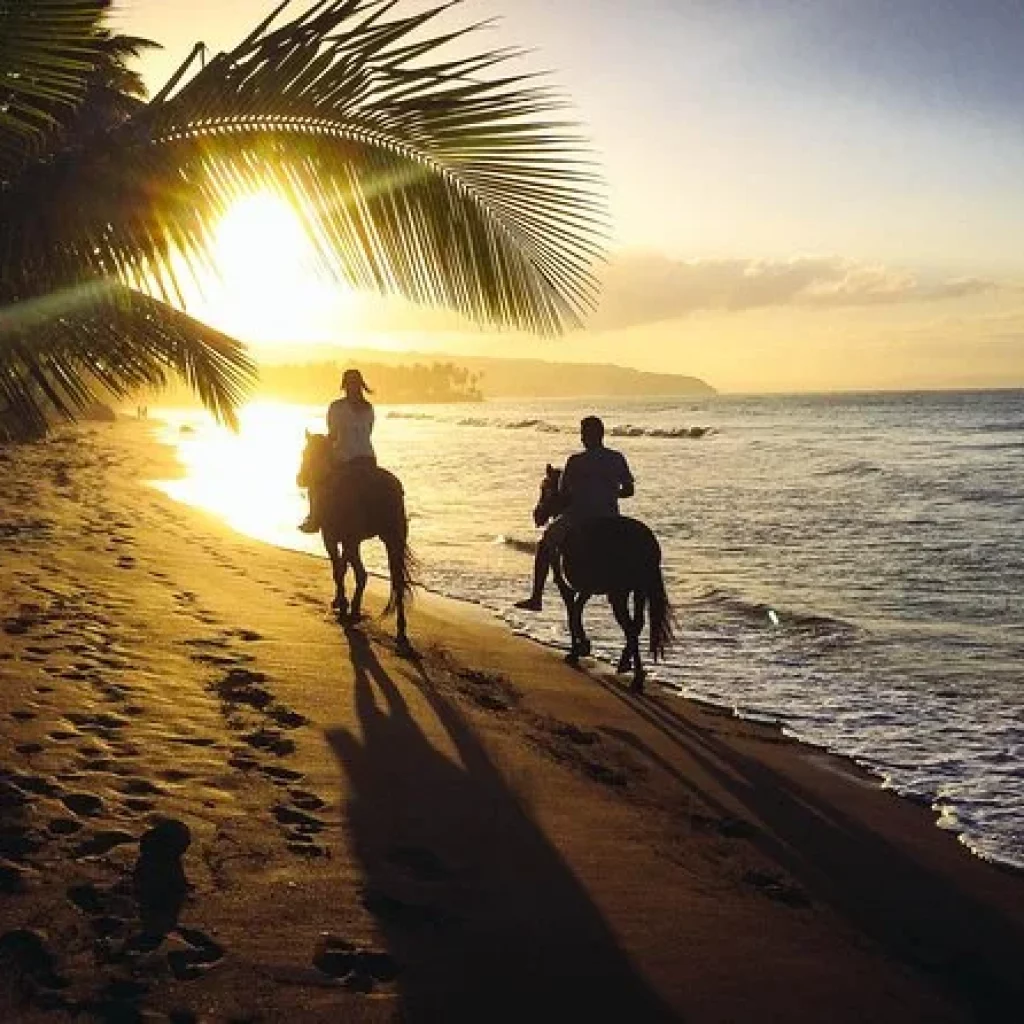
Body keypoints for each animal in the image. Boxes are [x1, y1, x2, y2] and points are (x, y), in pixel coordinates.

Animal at [299, 432, 417, 655]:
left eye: (305, 452)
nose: (300, 479)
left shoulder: (332, 538)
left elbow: (338, 569)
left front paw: (340, 602)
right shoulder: (349, 540)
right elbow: (343, 568)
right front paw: (341, 601)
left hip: (353, 538)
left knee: (360, 573)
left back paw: (351, 611)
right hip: (391, 539)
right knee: (395, 581)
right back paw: (400, 631)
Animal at [532, 466, 675, 692]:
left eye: (545, 488)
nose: (537, 514)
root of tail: (646, 543)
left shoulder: (572, 584)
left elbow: (572, 609)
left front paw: (577, 650)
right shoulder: (587, 588)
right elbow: (576, 610)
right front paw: (582, 647)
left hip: (619, 592)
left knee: (630, 626)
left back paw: (635, 677)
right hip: (638, 589)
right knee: (636, 624)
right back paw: (628, 665)